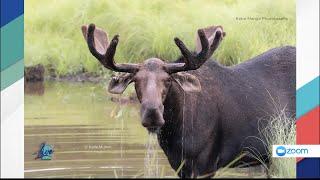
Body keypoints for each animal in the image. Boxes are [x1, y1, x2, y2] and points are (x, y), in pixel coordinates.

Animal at [82, 23, 296, 177]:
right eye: (136, 80)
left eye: (168, 80)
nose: (152, 114)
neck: (175, 131)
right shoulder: (179, 165)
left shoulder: (206, 163)